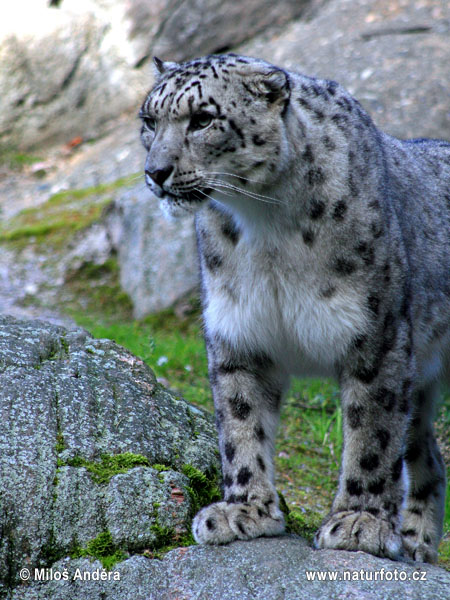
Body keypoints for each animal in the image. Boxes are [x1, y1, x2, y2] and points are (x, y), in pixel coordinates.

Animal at [139, 51, 448, 564]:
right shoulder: (238, 333)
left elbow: (373, 434)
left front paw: (358, 522)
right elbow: (241, 423)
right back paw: (415, 544)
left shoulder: (376, 336)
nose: (155, 172)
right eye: (149, 121)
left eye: (202, 119)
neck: (266, 227)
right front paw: (244, 509)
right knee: (427, 453)